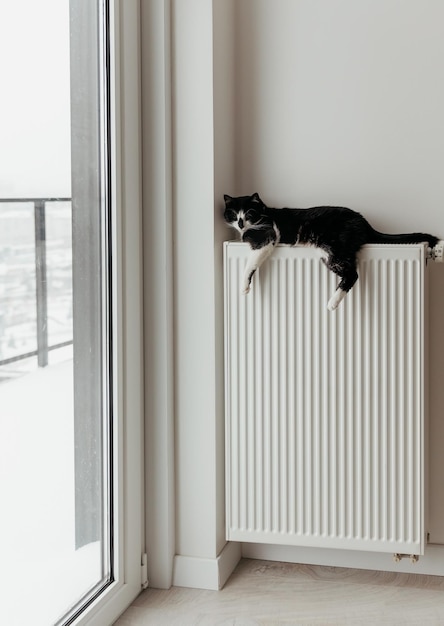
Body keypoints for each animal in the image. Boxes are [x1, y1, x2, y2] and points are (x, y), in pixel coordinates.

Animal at [224, 190, 438, 308]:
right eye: (233, 214)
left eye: (249, 213)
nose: (241, 223)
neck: (264, 214)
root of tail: (364, 222)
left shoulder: (266, 236)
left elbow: (251, 262)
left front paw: (243, 287)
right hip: (330, 253)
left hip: (334, 248)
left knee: (353, 274)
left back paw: (331, 304)